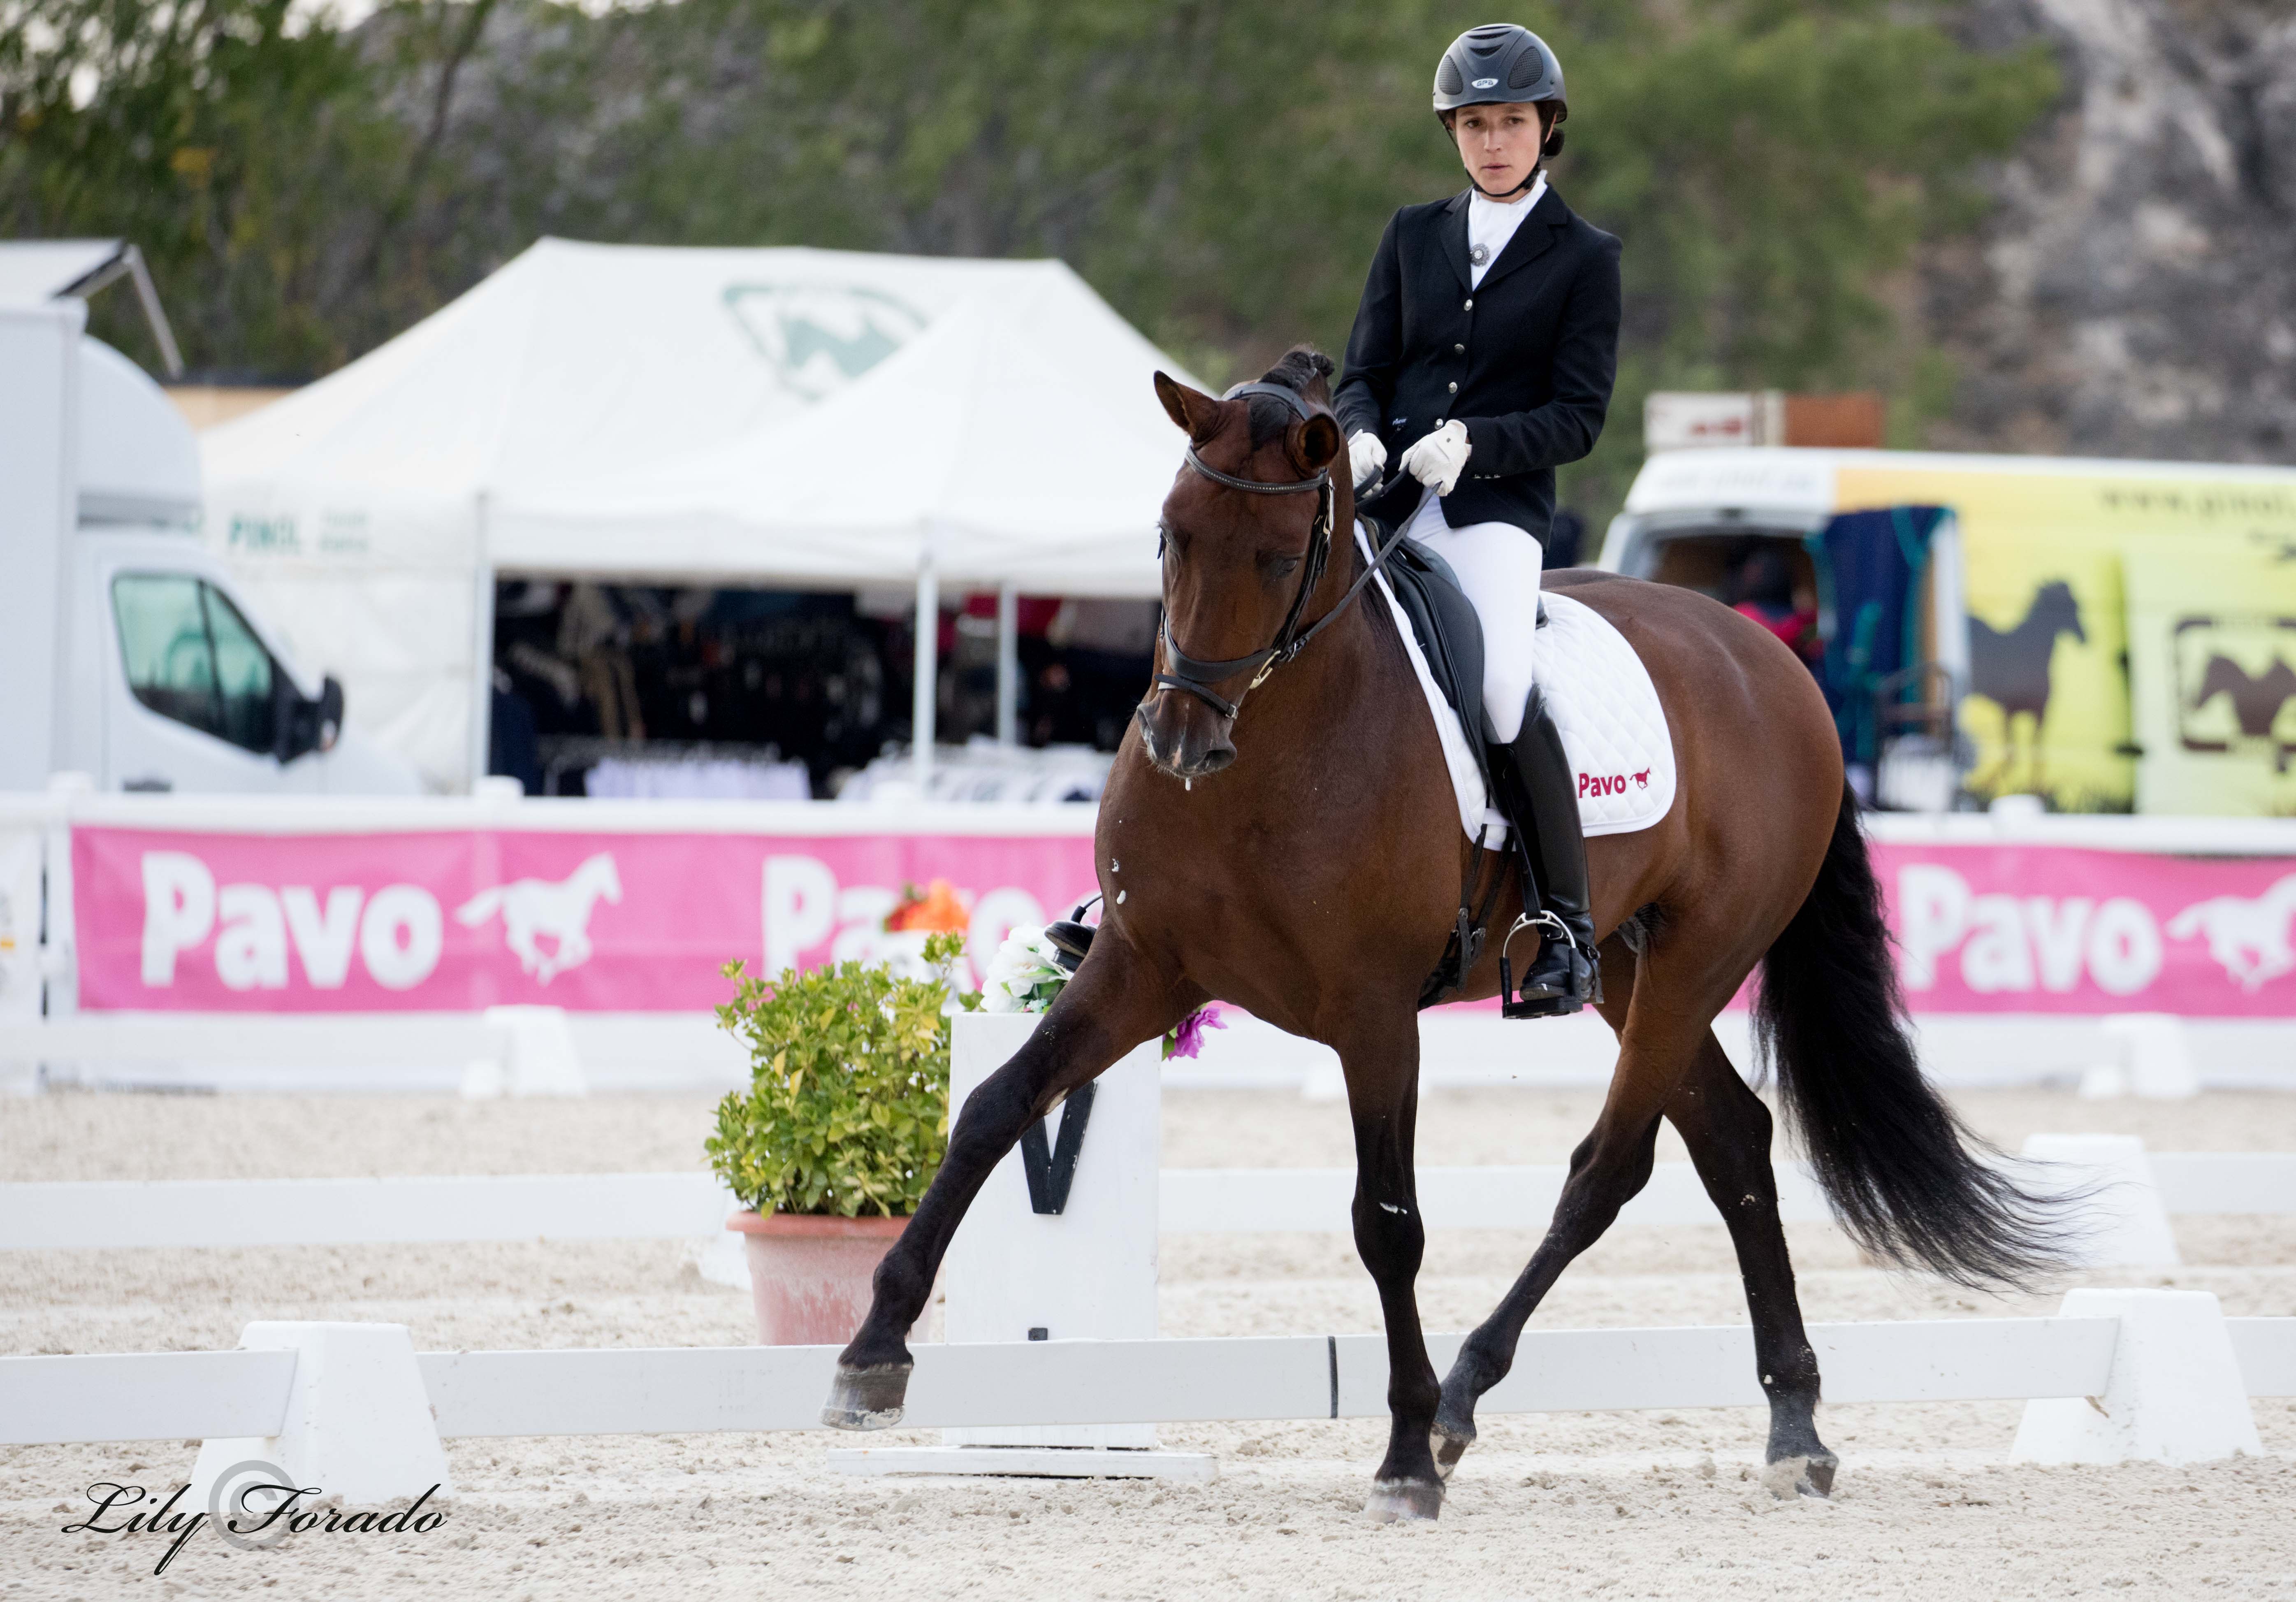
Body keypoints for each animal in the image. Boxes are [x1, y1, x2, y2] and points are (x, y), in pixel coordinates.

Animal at [831, 353, 2066, 1524]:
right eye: (1170, 533)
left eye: (1277, 558)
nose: (1179, 739)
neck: (1269, 754)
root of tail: (1773, 663)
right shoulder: (1143, 968)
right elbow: (996, 1110)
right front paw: (870, 1354)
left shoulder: (1373, 1014)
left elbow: (1387, 1221)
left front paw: (1402, 1457)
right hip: (1628, 968)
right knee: (1731, 1139)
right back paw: (1794, 1426)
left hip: (1695, 961)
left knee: (1608, 1166)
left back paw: (1469, 1396)